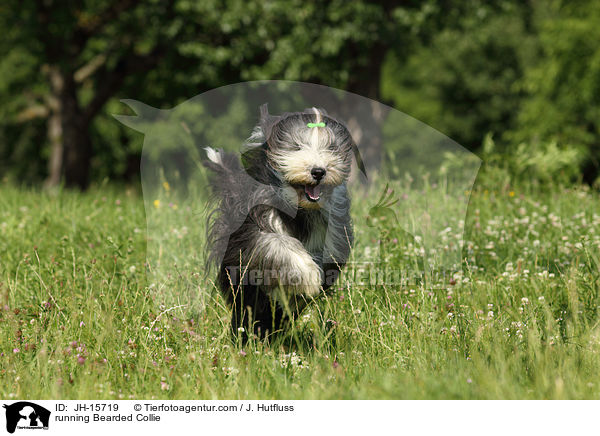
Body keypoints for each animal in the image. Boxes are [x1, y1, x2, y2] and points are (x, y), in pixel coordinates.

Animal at [204, 105, 360, 340]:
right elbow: (276, 245)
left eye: (331, 148)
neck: (301, 209)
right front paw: (308, 277)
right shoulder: (255, 224)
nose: (318, 171)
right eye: (297, 147)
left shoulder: (333, 229)